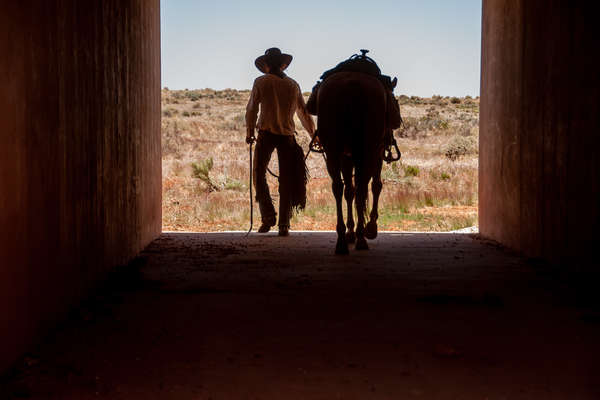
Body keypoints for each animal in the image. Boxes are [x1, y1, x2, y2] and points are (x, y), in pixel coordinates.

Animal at [308, 70, 400, 255]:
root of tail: (351, 85)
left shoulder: (346, 157)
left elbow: (349, 191)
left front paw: (351, 231)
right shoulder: (375, 154)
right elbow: (375, 186)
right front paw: (369, 228)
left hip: (334, 152)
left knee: (339, 187)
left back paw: (342, 240)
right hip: (367, 152)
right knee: (361, 188)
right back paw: (361, 237)